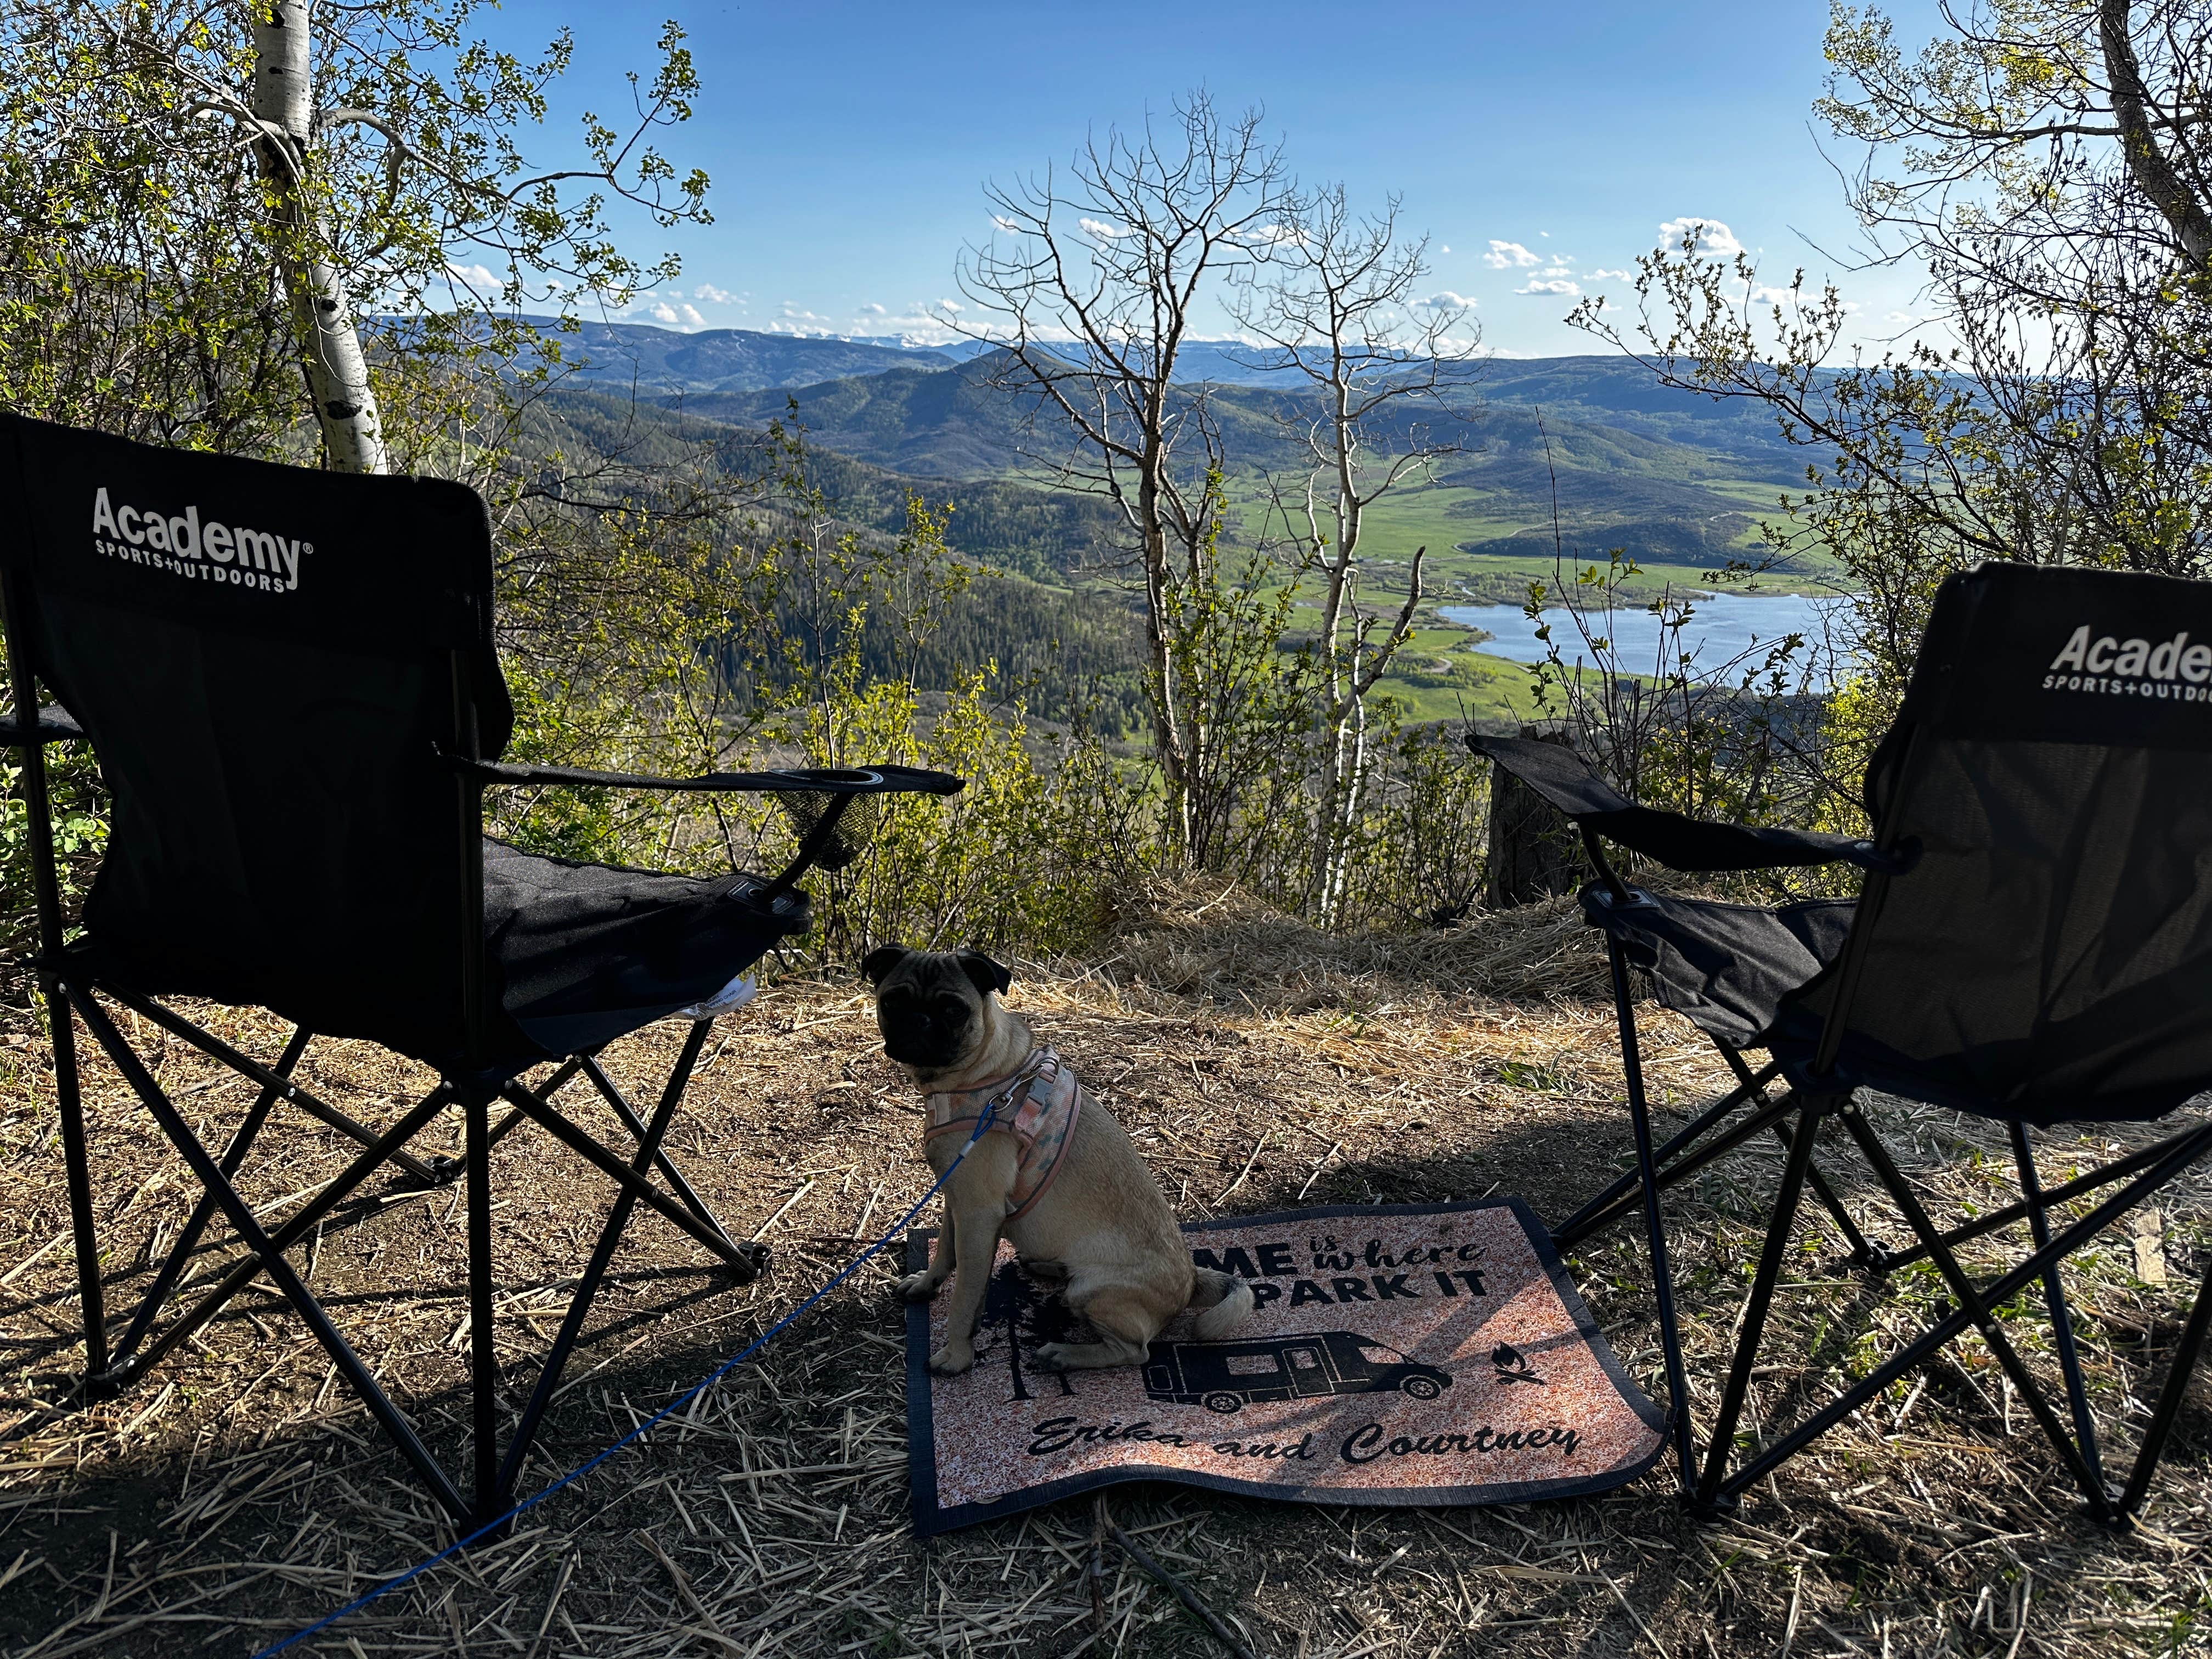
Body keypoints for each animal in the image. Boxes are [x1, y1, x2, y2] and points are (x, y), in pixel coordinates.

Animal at [862, 946, 1256, 1380]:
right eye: (892, 1001)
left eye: (953, 1010)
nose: (918, 1020)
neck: (980, 1075)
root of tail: (1189, 1285)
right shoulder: (956, 1198)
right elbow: (944, 1253)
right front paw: (926, 1284)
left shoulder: (978, 1214)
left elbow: (965, 1299)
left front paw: (956, 1355)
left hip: (1093, 1292)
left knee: (1134, 1352)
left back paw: (1064, 1354)